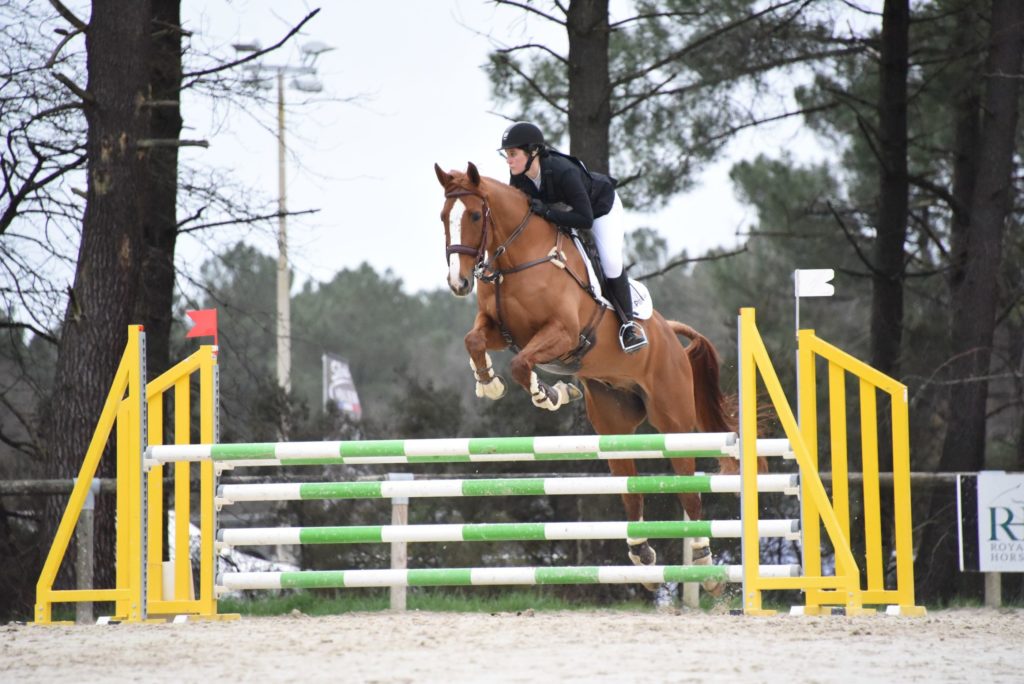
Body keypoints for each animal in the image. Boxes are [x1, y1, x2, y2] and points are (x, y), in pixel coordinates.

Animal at [432, 161, 761, 593]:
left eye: (473, 215)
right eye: (443, 218)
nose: (458, 283)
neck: (517, 260)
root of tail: (669, 332)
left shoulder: (563, 334)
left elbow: (523, 365)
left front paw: (550, 394)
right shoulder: (500, 330)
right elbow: (474, 340)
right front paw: (488, 382)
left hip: (673, 419)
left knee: (689, 490)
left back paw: (706, 566)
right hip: (612, 422)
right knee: (631, 490)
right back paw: (642, 556)